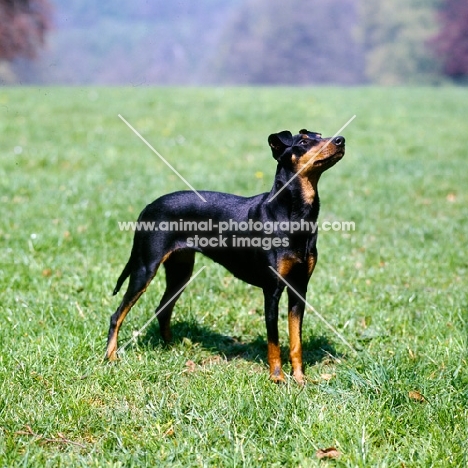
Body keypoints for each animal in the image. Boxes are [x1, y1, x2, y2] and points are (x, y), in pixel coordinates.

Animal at [108, 129, 346, 384]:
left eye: (319, 135)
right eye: (303, 141)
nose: (340, 140)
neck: (294, 216)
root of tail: (148, 206)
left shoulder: (299, 288)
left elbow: (296, 341)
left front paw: (300, 378)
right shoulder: (271, 290)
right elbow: (274, 341)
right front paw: (277, 377)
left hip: (181, 272)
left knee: (162, 309)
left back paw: (171, 349)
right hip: (145, 269)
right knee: (116, 315)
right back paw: (111, 357)